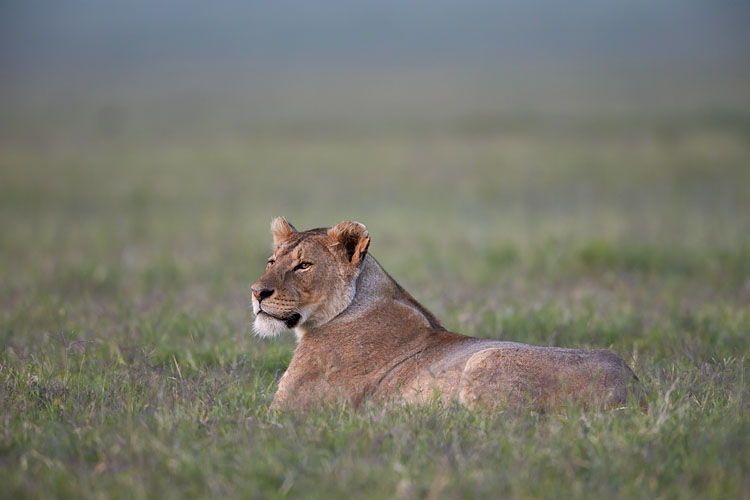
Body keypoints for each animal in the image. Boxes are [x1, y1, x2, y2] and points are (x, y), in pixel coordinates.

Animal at [251, 217, 644, 411]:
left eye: (303, 265)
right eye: (271, 261)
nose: (257, 292)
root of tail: (634, 390)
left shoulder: (293, 411)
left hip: (487, 360)